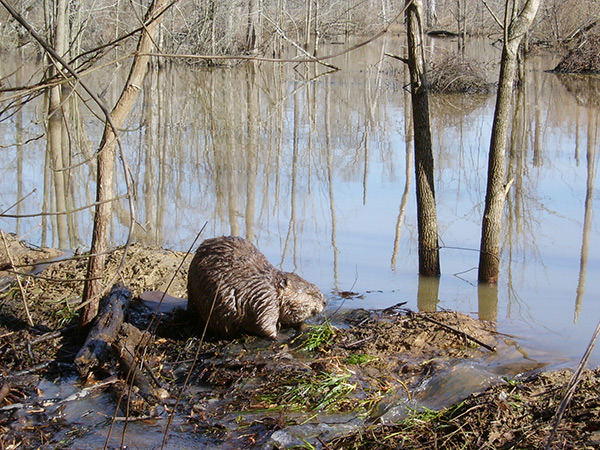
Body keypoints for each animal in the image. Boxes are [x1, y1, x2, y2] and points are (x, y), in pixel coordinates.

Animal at [189, 236, 326, 338]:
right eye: (309, 293)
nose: (325, 302)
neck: (268, 283)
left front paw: (303, 326)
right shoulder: (265, 299)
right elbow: (264, 324)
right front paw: (280, 335)